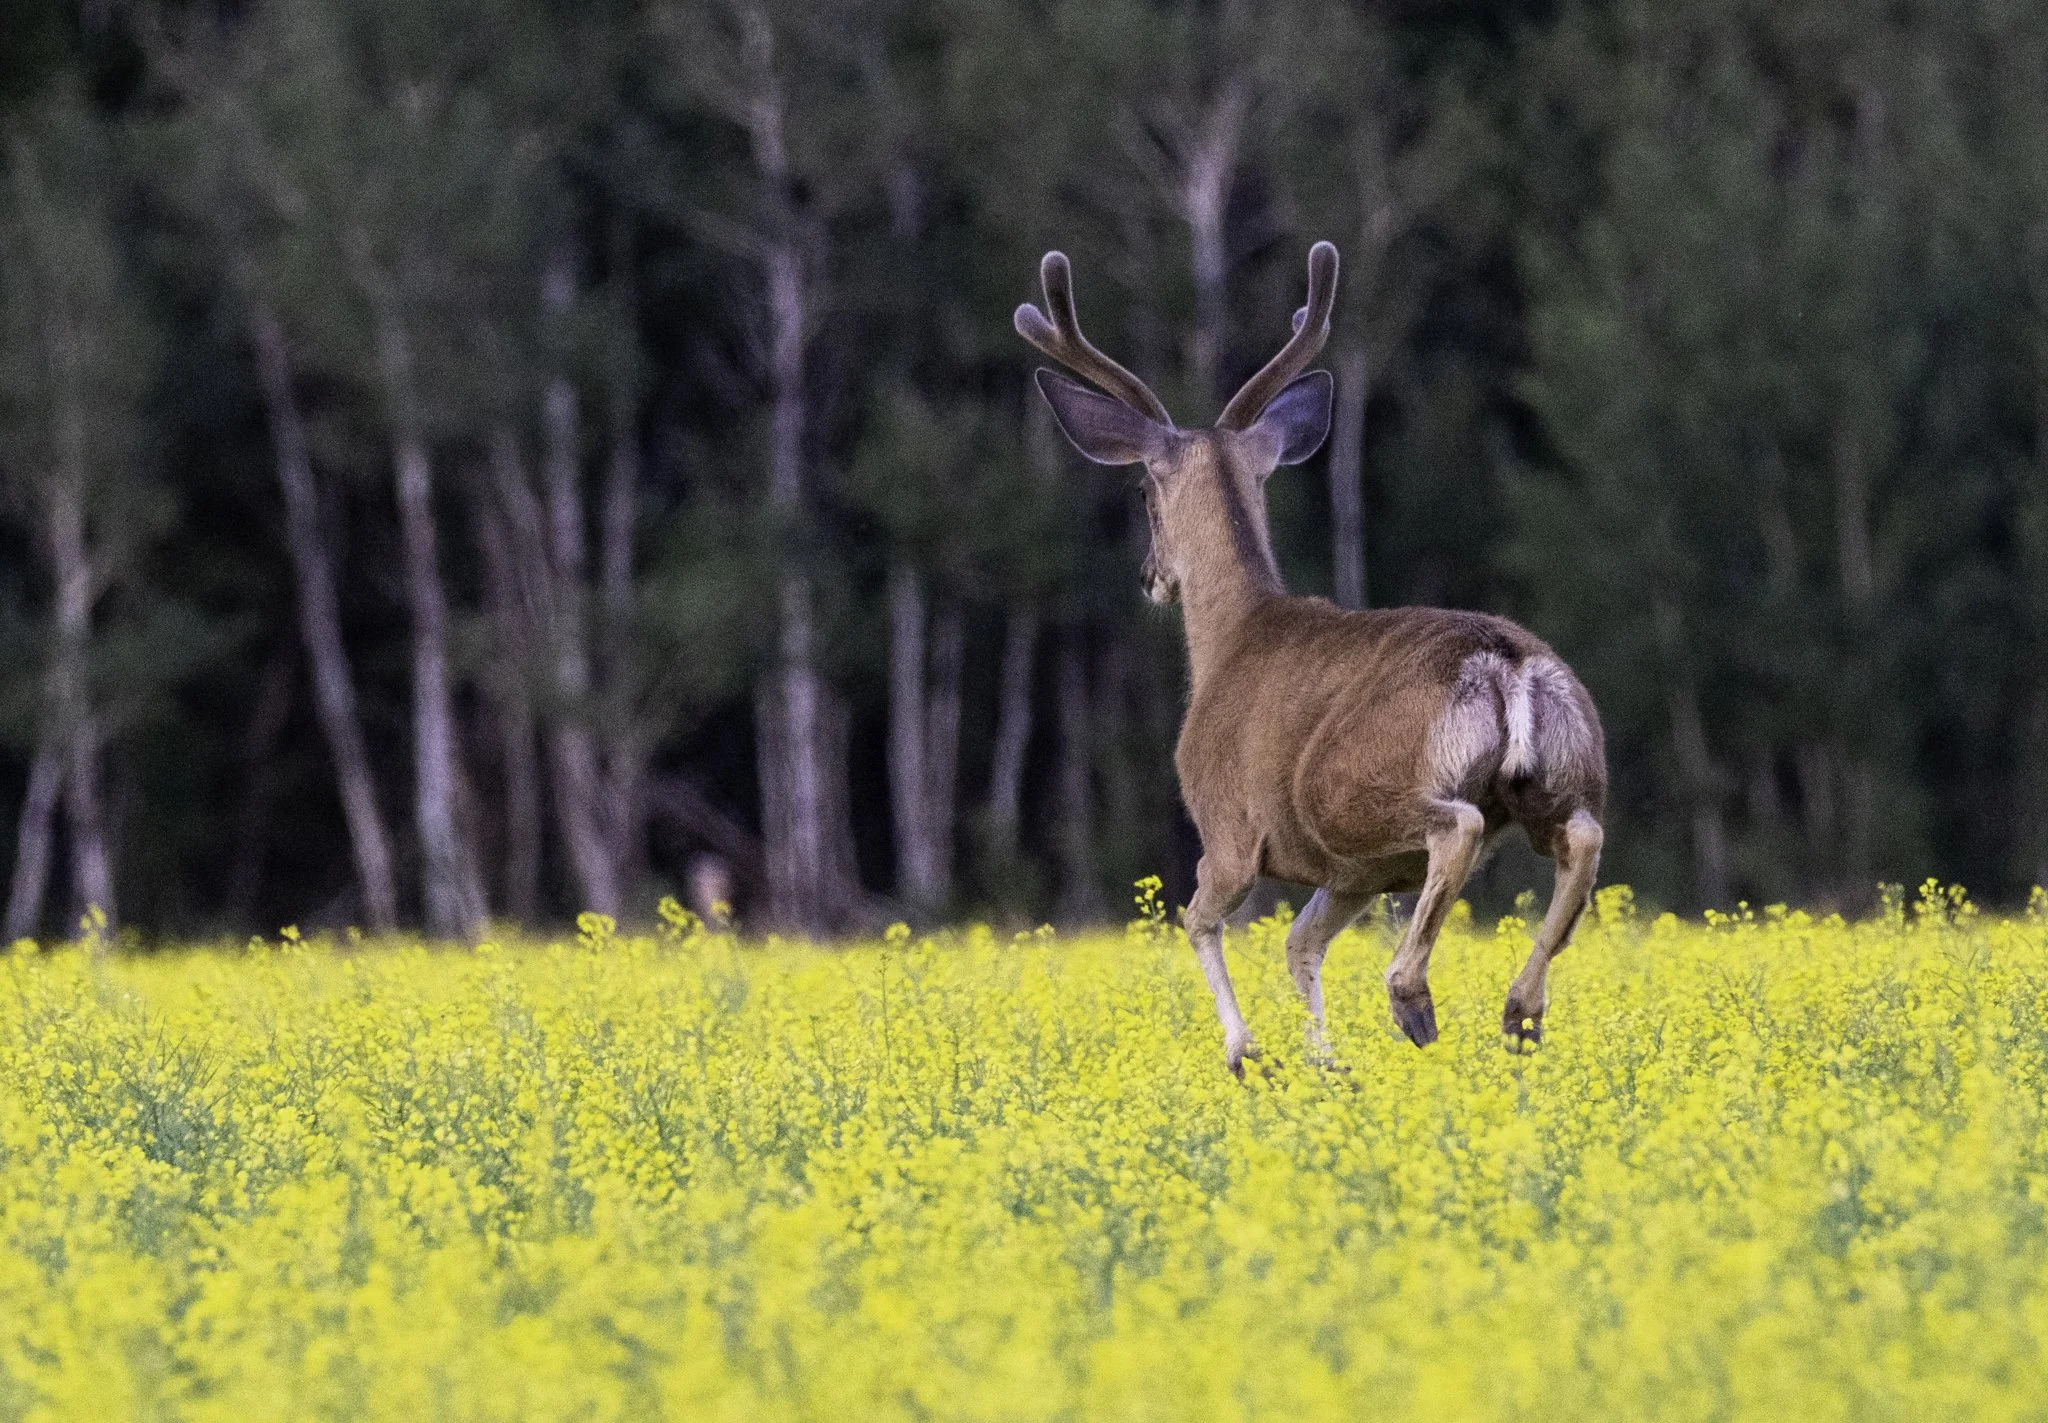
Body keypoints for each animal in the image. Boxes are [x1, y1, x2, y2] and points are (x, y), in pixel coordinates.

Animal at [1017, 241, 1607, 1075]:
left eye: (1141, 493)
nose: (1150, 575)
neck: (1230, 638)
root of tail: (1507, 663)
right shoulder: (1353, 873)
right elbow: (1299, 944)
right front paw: (1325, 1061)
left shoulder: (1229, 829)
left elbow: (1197, 919)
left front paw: (1245, 1050)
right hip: (1557, 775)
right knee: (1580, 838)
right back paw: (1519, 1009)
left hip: (1352, 787)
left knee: (1456, 824)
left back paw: (1413, 996)